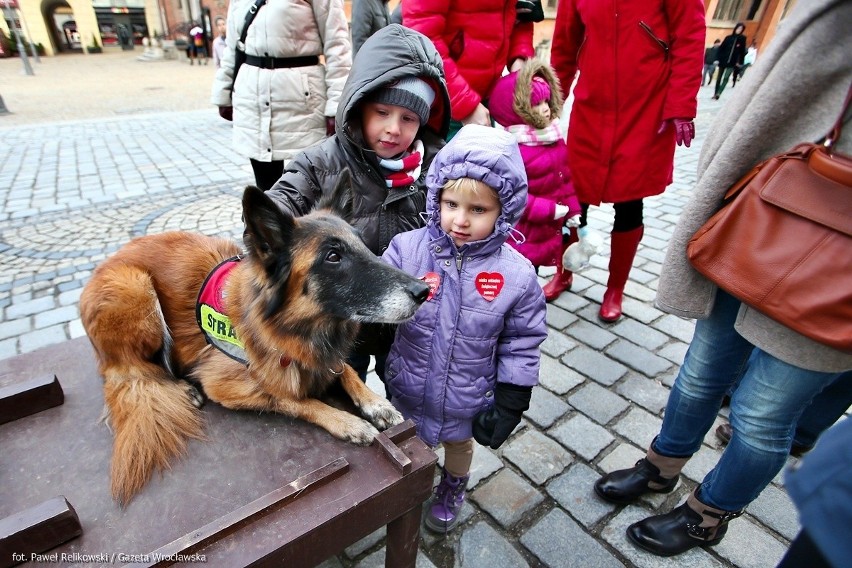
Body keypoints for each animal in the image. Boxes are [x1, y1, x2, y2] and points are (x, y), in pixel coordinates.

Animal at [80, 178, 430, 506]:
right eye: (333, 256)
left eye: (363, 245)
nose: (423, 291)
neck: (289, 327)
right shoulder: (225, 385)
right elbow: (293, 398)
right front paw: (347, 422)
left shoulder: (324, 357)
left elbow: (345, 369)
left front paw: (376, 402)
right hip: (135, 289)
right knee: (133, 370)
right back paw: (181, 388)